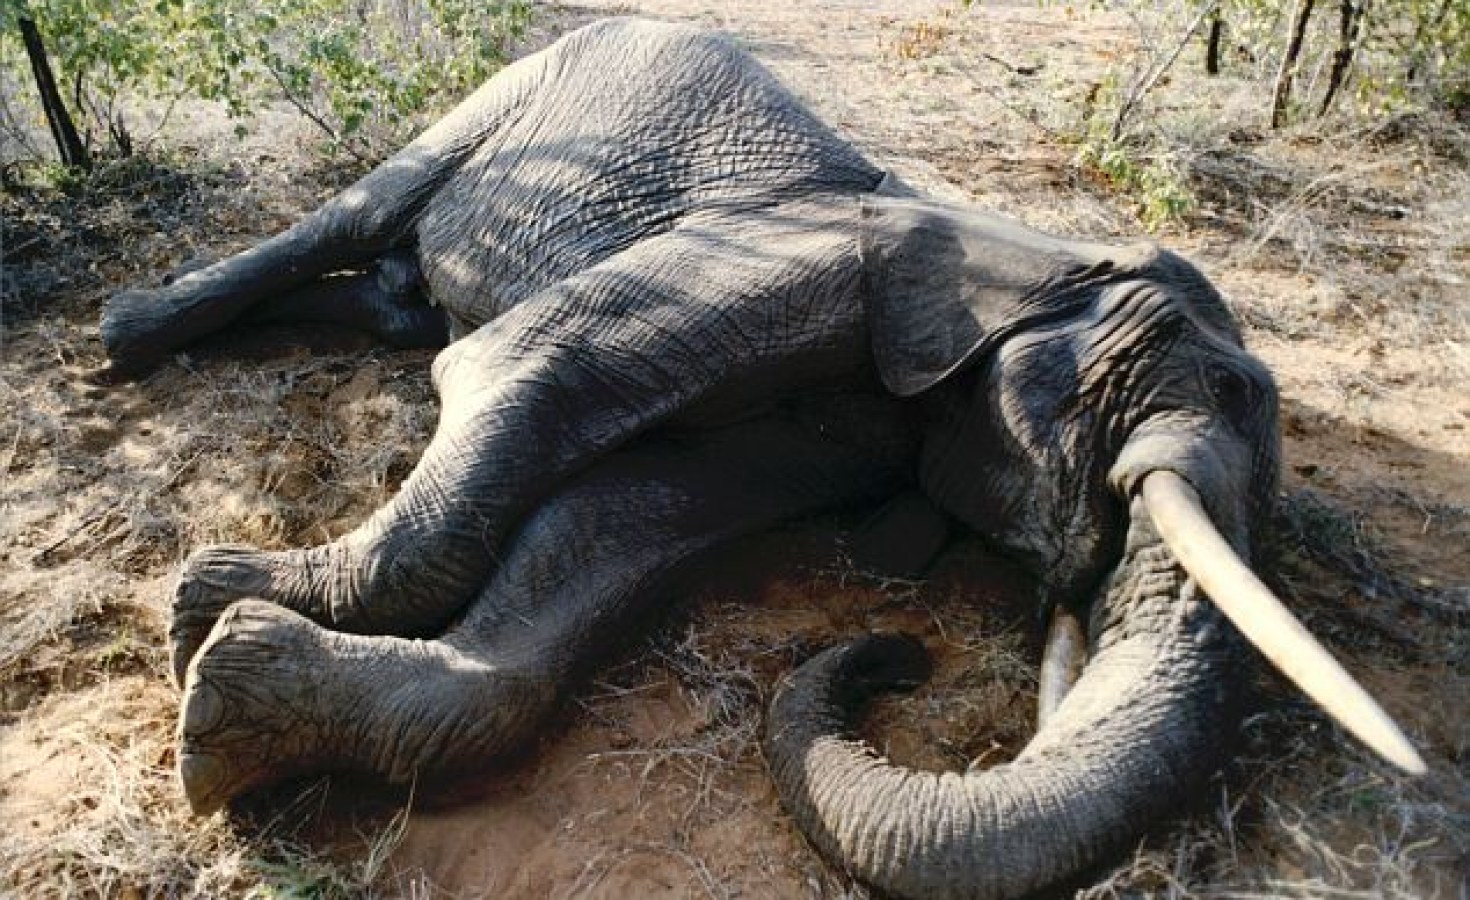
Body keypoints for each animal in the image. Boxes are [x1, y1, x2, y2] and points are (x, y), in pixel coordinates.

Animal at [99, 18, 1423, 900]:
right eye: (1201, 393)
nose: (898, 656)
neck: (1038, 247)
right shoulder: (811, 262)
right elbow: (518, 373)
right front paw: (208, 611)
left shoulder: (848, 429)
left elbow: (615, 530)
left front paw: (231, 701)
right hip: (516, 89)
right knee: (365, 213)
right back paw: (129, 335)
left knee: (394, 302)